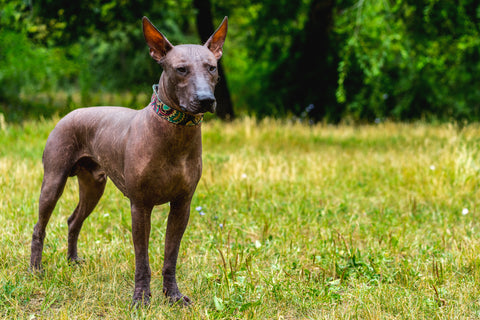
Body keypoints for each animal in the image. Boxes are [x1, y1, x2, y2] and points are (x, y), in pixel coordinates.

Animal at [30, 16, 229, 306]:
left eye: (211, 68)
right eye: (181, 69)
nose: (206, 99)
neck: (176, 134)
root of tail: (70, 113)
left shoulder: (182, 205)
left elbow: (171, 256)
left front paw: (173, 296)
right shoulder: (140, 206)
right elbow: (142, 259)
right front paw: (141, 298)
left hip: (93, 187)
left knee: (73, 220)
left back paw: (72, 260)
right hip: (54, 181)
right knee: (39, 226)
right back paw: (35, 269)